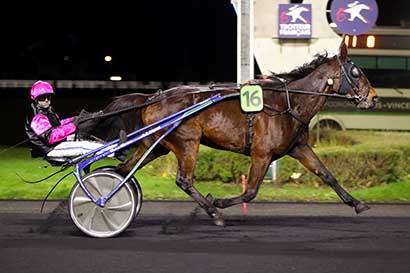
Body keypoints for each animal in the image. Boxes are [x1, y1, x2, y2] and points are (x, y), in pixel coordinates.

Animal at [87, 41, 378, 223]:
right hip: (188, 142)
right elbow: (250, 192)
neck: (288, 103)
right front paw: (217, 203)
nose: (373, 97)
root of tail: (153, 97)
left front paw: (357, 203)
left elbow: (327, 174)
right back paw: (212, 212)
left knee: (124, 171)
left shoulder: (298, 147)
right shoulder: (262, 154)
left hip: (158, 145)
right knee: (183, 180)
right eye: (356, 71)